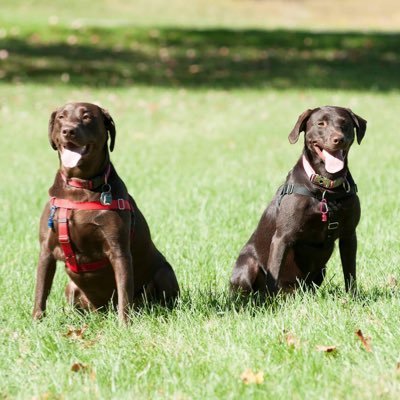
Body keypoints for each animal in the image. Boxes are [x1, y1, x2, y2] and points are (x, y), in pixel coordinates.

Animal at [32, 102, 180, 322]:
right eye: (61, 117)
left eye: (86, 116)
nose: (68, 130)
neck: (80, 186)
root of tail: (101, 310)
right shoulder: (46, 250)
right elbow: (41, 291)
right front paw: (36, 322)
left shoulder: (118, 250)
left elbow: (124, 295)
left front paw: (124, 326)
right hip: (71, 288)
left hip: (164, 272)